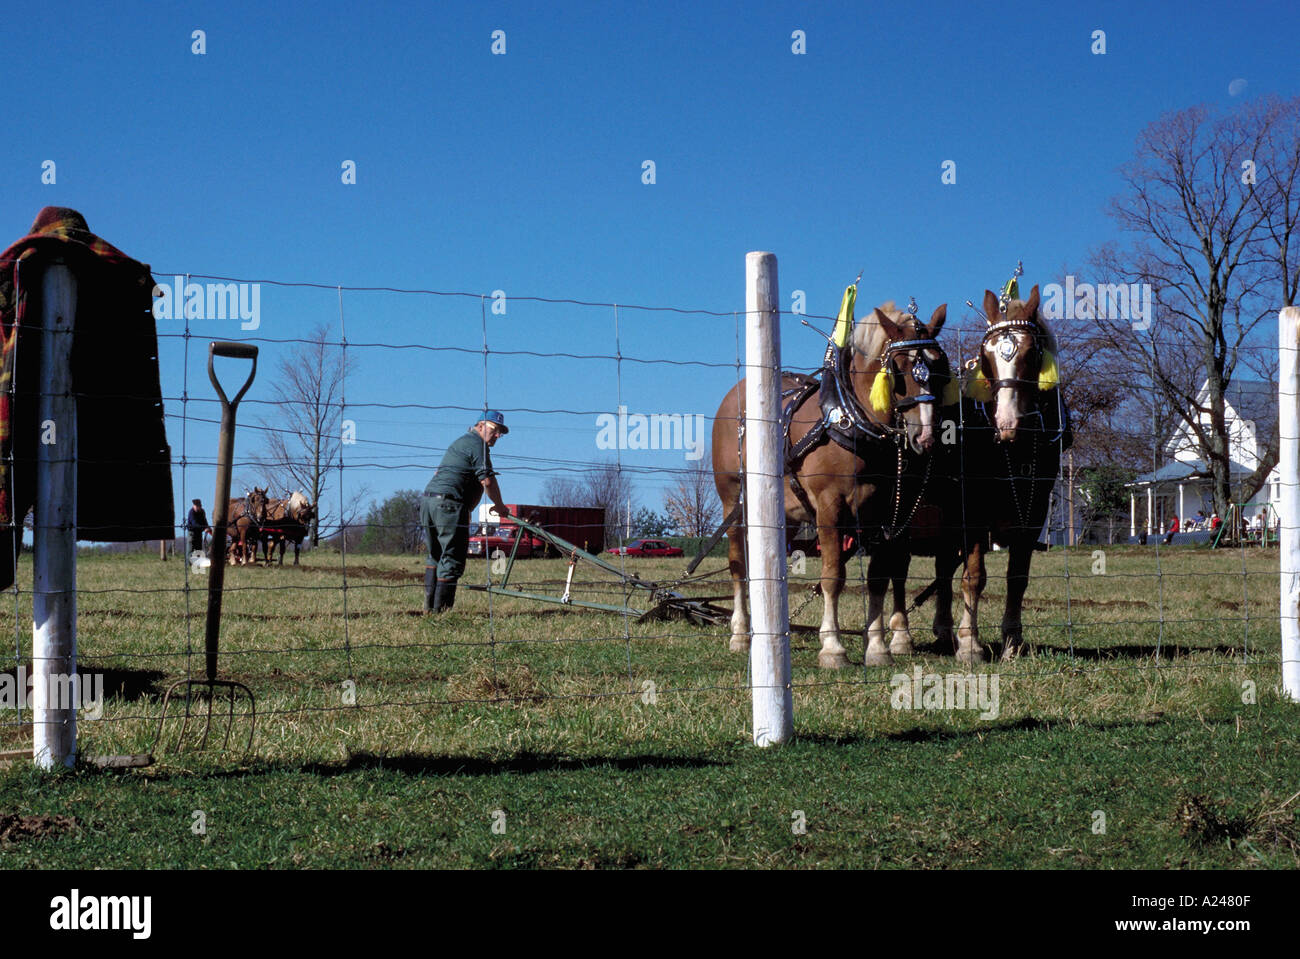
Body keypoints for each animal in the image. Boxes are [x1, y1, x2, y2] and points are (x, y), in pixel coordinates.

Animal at [711, 301, 954, 668]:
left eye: (940, 366)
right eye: (898, 368)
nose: (924, 435)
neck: (852, 419)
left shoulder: (884, 512)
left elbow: (879, 578)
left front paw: (877, 646)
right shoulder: (830, 507)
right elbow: (832, 576)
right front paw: (832, 646)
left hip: (786, 515)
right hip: (734, 503)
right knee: (740, 564)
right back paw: (740, 633)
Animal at [915, 285, 1071, 663]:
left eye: (1031, 353)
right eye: (986, 356)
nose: (1006, 422)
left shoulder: (1033, 513)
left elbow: (1017, 577)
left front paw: (1012, 640)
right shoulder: (973, 511)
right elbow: (974, 575)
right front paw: (970, 643)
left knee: (943, 568)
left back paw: (943, 632)